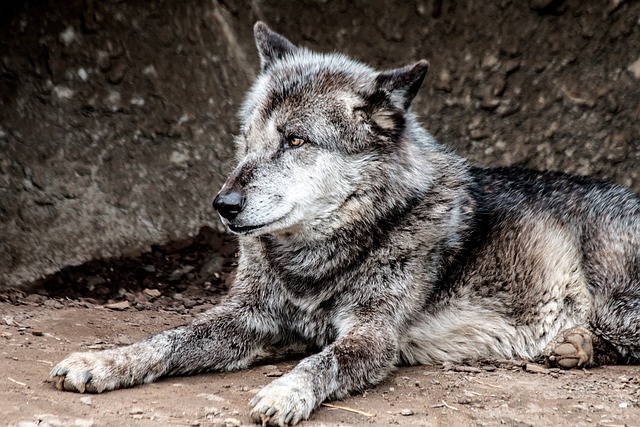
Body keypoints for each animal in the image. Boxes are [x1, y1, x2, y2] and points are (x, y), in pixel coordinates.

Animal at [51, 20, 640, 427]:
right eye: (247, 139)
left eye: (295, 140)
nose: (223, 204)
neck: (316, 261)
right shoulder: (250, 318)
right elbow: (168, 338)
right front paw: (105, 361)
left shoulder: (371, 337)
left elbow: (321, 364)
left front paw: (284, 392)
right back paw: (576, 347)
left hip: (615, 301)